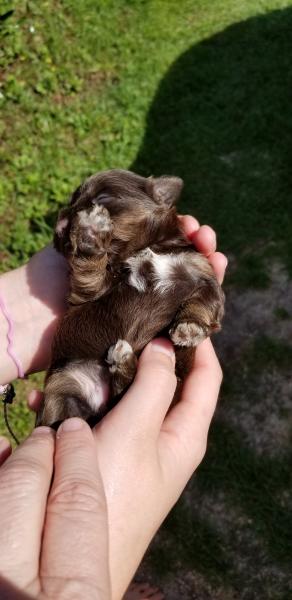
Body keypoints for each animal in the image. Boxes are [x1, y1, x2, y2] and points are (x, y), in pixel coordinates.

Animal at [36, 171, 224, 428]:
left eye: (103, 197)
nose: (61, 221)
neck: (142, 248)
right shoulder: (90, 292)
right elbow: (88, 268)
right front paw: (92, 230)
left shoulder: (203, 274)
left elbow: (206, 302)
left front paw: (189, 328)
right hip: (64, 383)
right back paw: (122, 363)